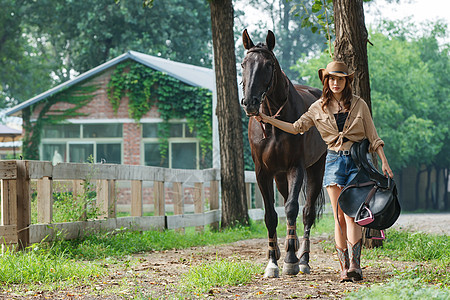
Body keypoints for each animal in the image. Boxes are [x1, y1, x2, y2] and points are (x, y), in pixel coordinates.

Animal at [239, 29, 326, 278]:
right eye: (244, 64)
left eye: (268, 65)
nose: (250, 103)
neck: (274, 124)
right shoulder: (263, 173)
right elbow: (270, 215)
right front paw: (272, 262)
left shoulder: (296, 167)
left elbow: (292, 209)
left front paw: (291, 261)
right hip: (279, 176)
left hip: (316, 168)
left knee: (306, 212)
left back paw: (303, 259)